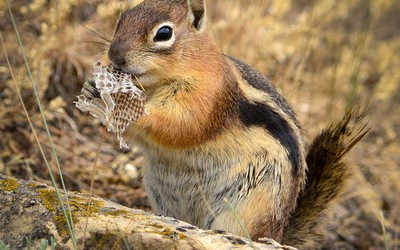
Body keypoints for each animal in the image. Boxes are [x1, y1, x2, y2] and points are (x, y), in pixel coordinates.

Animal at [103, 0, 368, 246]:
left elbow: (180, 126)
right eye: (122, 19)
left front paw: (122, 103)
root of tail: (277, 233)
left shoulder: (209, 97)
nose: (115, 57)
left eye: (164, 33)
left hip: (247, 205)